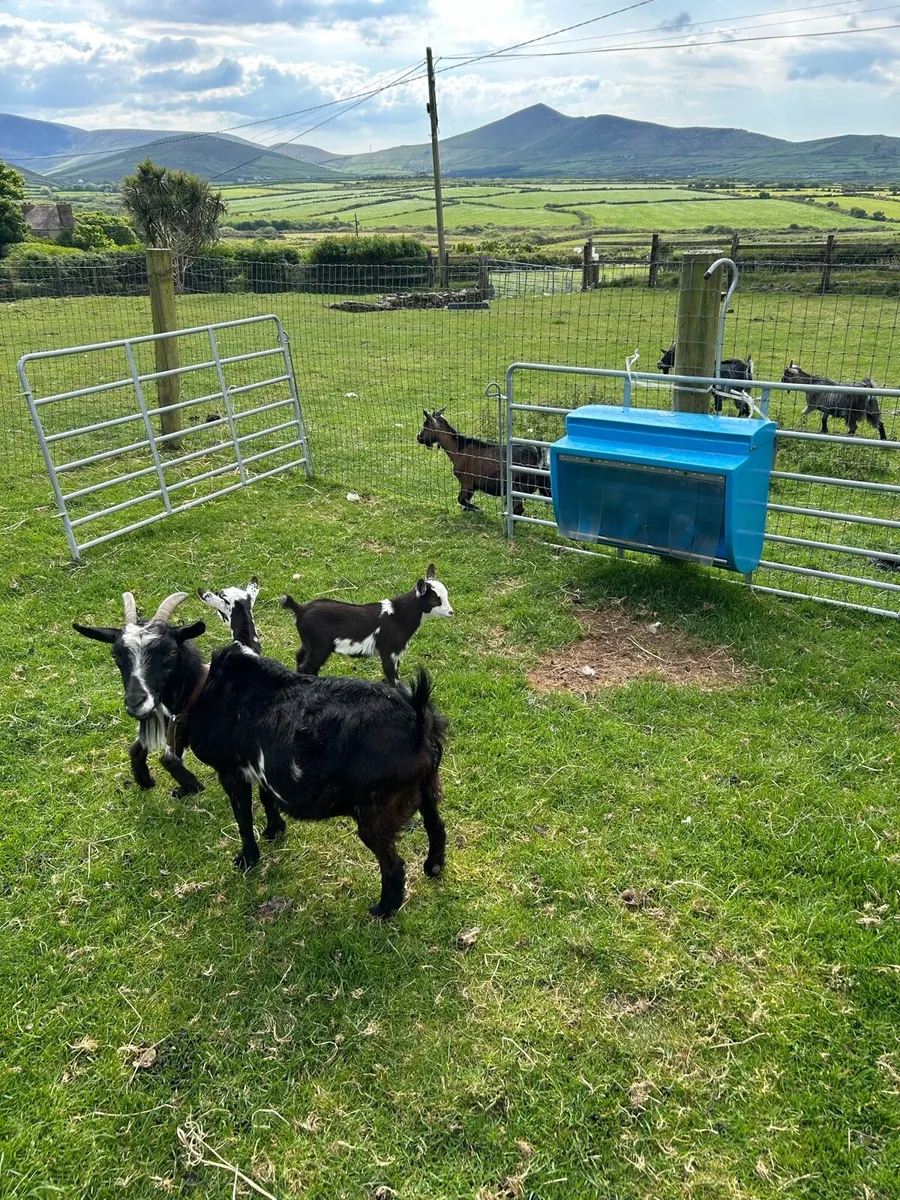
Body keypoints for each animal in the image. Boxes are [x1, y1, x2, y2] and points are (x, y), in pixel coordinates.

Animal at [73, 591, 205, 798]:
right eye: (115, 654)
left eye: (172, 651)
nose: (135, 702)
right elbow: (145, 752)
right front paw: (146, 780)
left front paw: (190, 786)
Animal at [279, 564, 452, 686]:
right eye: (435, 599)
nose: (451, 612)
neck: (399, 615)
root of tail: (300, 609)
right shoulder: (389, 651)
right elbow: (392, 677)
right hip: (320, 646)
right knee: (308, 668)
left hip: (308, 643)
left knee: (299, 657)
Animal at [417, 408, 550, 515]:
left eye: (425, 425)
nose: (418, 437)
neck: (458, 448)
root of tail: (538, 454)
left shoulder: (467, 482)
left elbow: (461, 500)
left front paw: (477, 509)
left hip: (518, 487)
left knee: (518, 509)